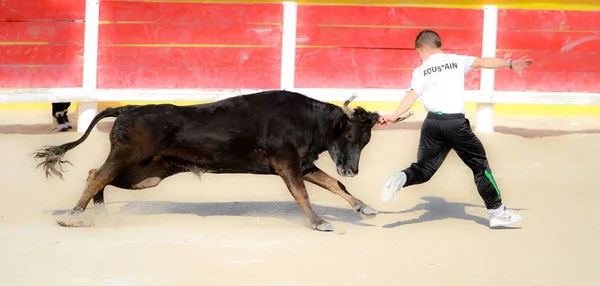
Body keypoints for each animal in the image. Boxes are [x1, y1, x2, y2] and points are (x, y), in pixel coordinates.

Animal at [32, 90, 412, 231]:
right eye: (349, 136)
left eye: (366, 141)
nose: (352, 167)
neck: (308, 121)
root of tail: (128, 108)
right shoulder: (287, 165)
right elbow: (303, 194)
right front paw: (320, 223)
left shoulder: (304, 165)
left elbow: (335, 184)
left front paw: (365, 208)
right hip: (129, 157)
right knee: (98, 175)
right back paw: (72, 217)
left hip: (146, 173)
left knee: (96, 173)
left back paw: (95, 214)